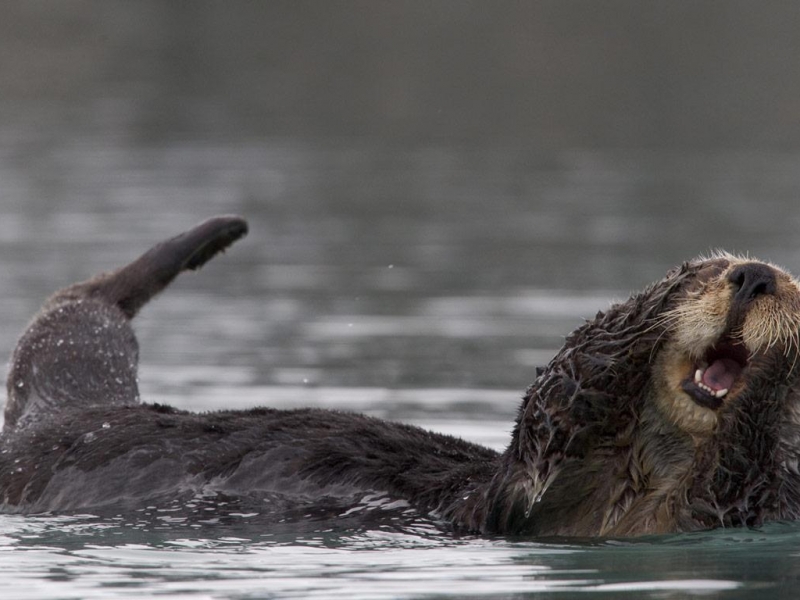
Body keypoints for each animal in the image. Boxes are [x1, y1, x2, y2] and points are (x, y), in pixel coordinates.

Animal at [2, 221, 800, 538]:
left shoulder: (720, 511)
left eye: (794, 281)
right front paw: (654, 305)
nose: (757, 276)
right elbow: (567, 385)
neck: (648, 474)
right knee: (81, 306)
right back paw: (214, 233)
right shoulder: (530, 481)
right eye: (705, 272)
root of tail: (69, 417)